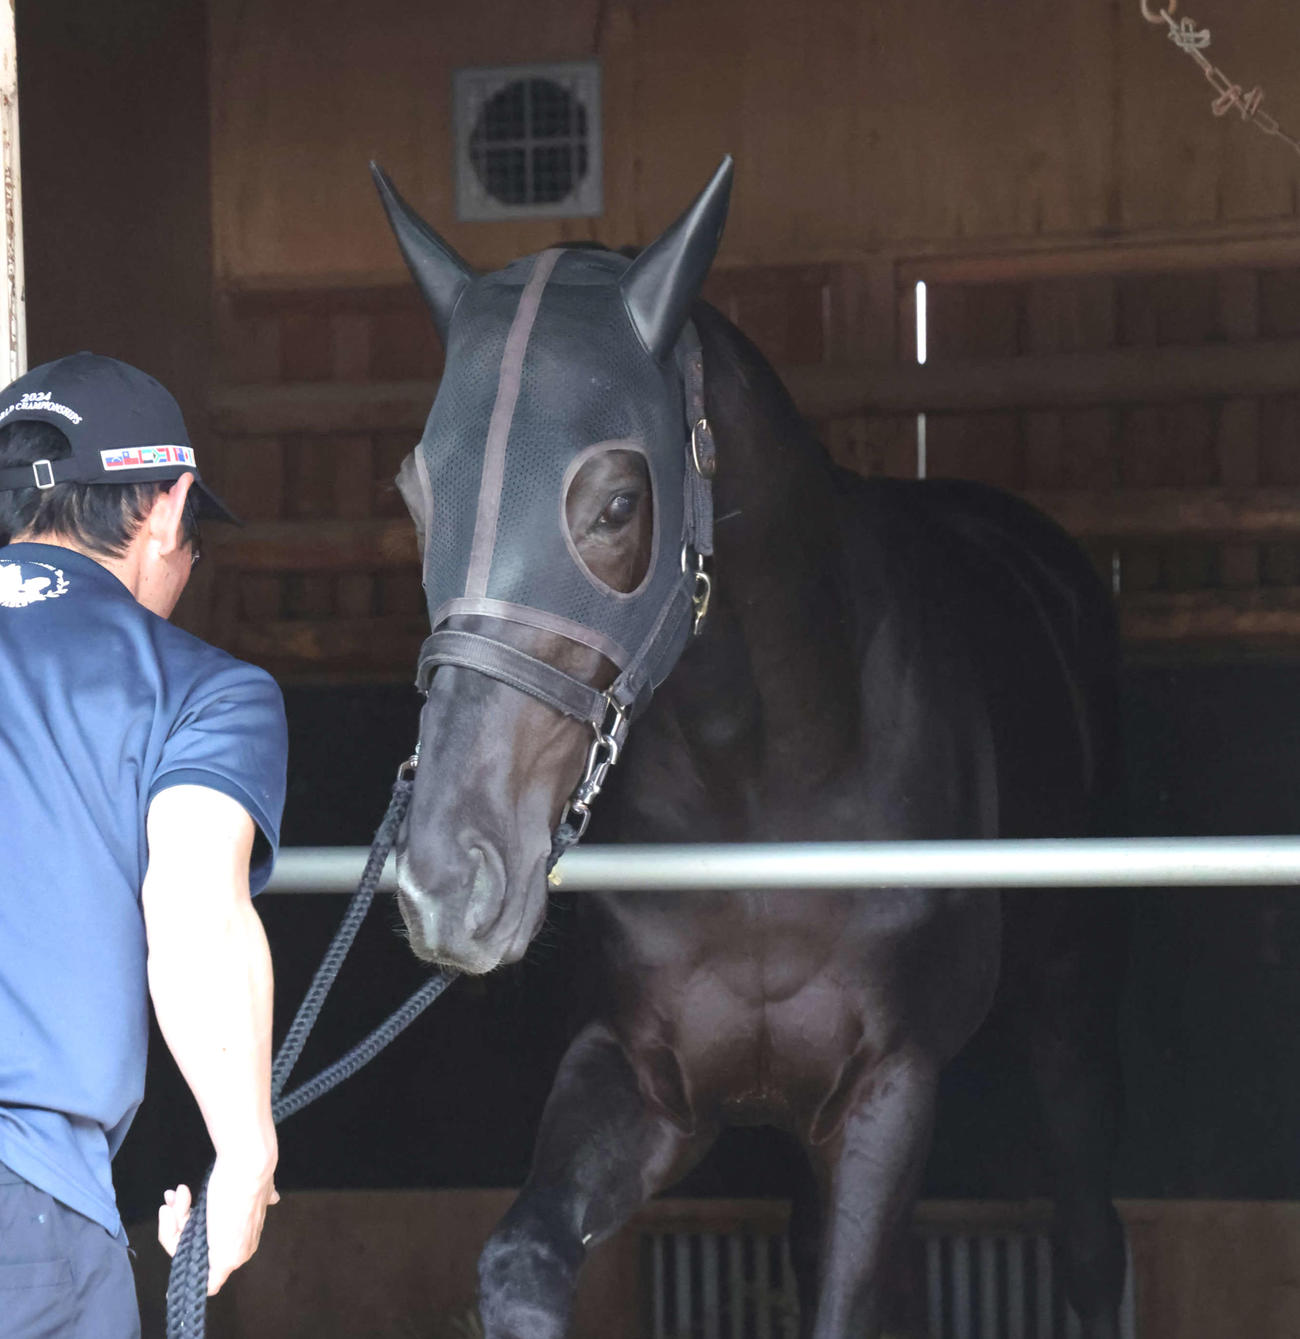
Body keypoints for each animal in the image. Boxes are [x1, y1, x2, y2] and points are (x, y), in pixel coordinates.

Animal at [373, 158, 1128, 1339]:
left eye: (617, 502)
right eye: (417, 497)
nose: (448, 881)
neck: (764, 777)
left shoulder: (888, 1090)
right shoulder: (644, 1078)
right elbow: (520, 1259)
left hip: (1066, 1010)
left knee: (1091, 1241)